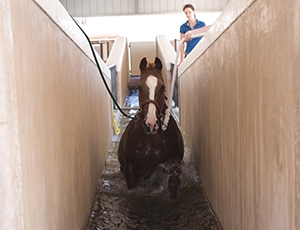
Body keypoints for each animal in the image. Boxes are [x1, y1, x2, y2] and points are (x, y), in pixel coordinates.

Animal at [118, 57, 184, 198]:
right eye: (139, 87)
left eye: (162, 87)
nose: (151, 124)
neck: (150, 141)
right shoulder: (130, 169)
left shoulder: (173, 160)